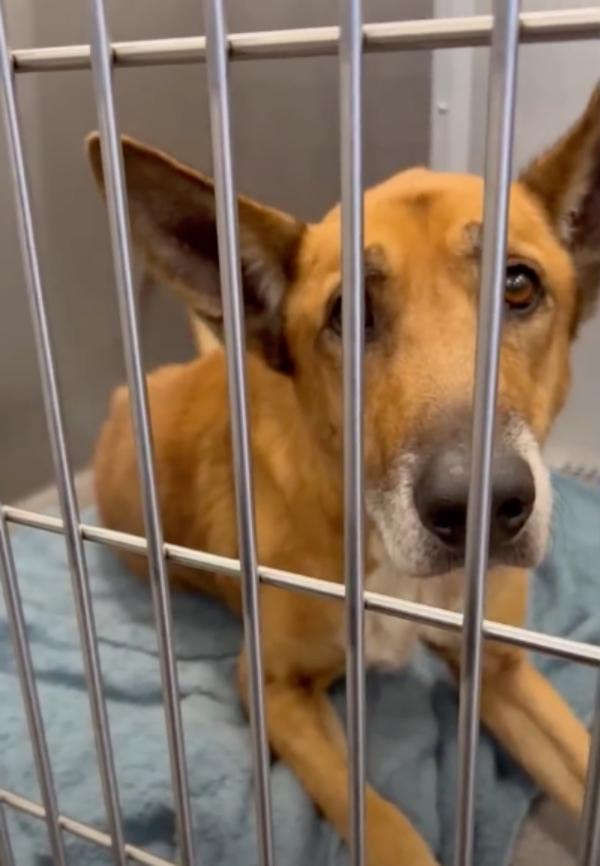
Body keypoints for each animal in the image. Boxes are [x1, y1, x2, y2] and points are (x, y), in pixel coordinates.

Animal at [85, 82, 600, 864]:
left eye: (518, 286)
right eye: (346, 313)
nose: (481, 506)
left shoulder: (503, 671)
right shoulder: (275, 688)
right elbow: (382, 823)